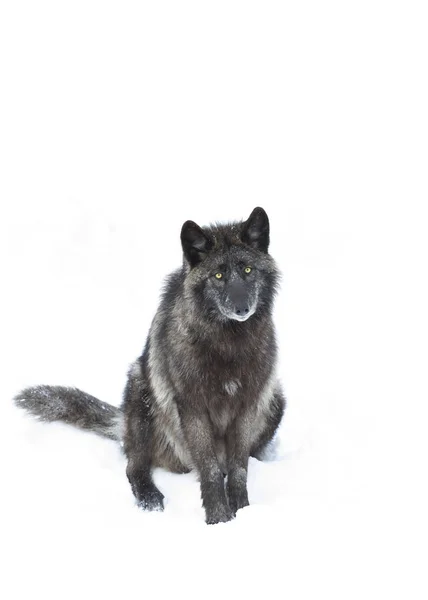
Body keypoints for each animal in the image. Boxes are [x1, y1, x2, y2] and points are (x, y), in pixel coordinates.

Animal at [15, 207, 284, 524]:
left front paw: (242, 511)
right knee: (135, 466)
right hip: (141, 394)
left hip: (276, 399)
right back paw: (150, 497)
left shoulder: (248, 404)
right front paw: (219, 519)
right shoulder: (192, 407)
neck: (228, 345)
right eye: (218, 275)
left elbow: (239, 469)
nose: (242, 308)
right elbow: (209, 469)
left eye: (247, 270)